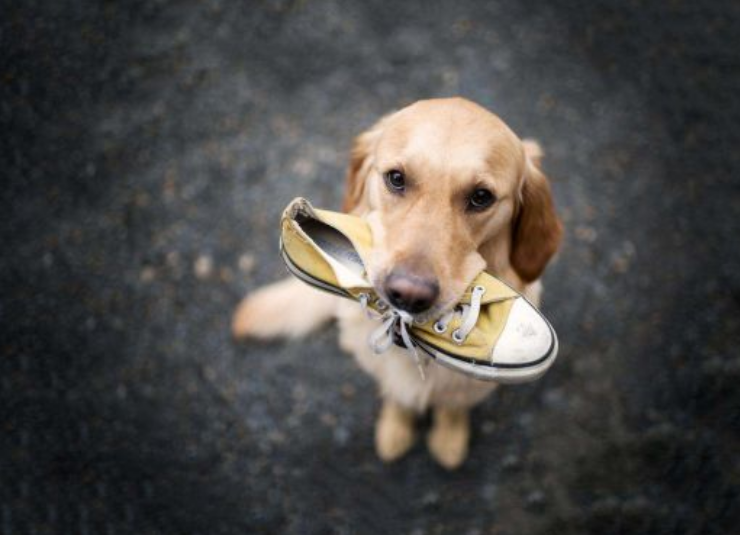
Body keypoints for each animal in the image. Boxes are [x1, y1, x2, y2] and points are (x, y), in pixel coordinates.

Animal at [234, 98, 564, 472]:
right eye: (396, 178)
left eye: (482, 196)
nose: (407, 295)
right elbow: (397, 398)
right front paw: (395, 430)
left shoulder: (467, 387)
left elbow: (452, 406)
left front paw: (449, 438)